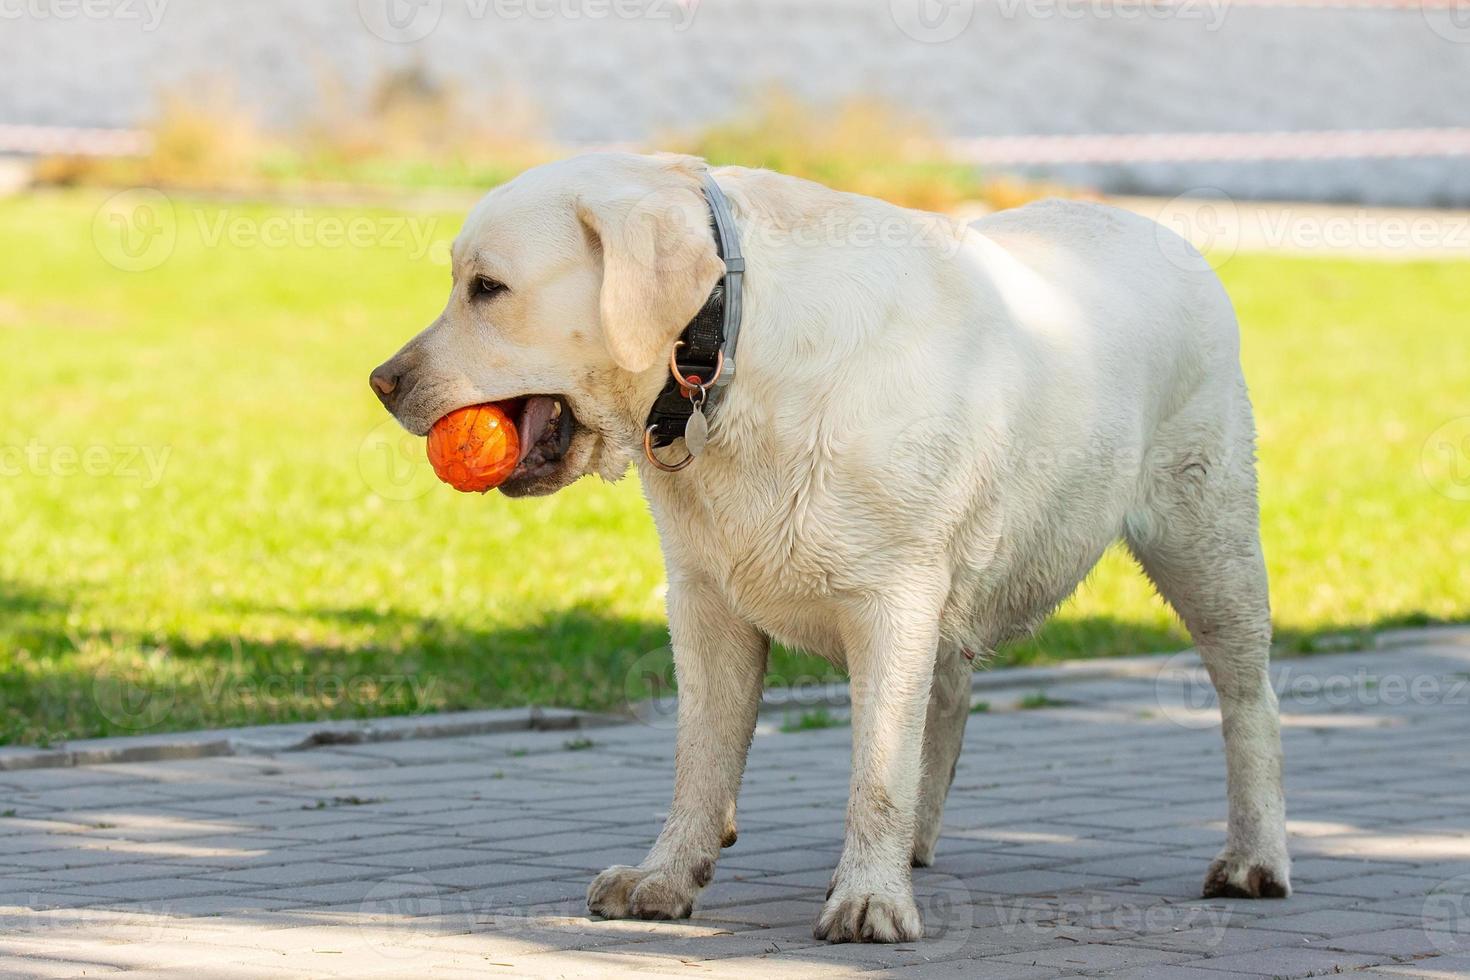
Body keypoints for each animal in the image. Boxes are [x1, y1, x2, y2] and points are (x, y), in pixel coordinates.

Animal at [367, 151, 1287, 940]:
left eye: (488, 287)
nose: (381, 382)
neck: (729, 355)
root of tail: (1166, 234)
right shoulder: (703, 597)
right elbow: (701, 759)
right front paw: (665, 876)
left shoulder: (895, 595)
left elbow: (876, 765)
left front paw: (871, 898)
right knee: (950, 693)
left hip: (1205, 536)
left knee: (1249, 697)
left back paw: (1254, 858)